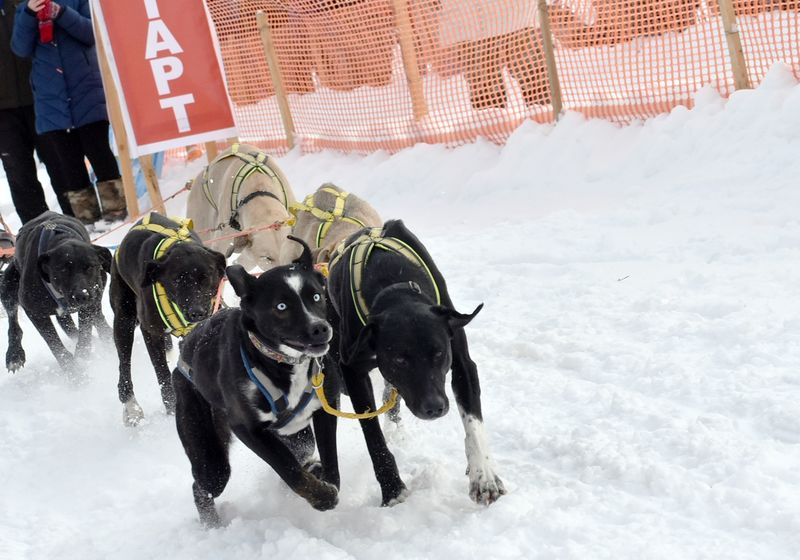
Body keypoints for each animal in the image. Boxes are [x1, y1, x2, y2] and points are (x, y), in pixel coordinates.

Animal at [0, 212, 112, 378]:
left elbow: (85, 329)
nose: (81, 295)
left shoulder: (93, 295)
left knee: (93, 318)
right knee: (13, 323)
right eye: (62, 270)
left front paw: (82, 354)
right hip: (8, 285)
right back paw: (14, 355)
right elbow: (54, 344)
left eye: (90, 266)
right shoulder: (34, 312)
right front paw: (72, 371)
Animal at [109, 213, 225, 424]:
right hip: (123, 320)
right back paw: (131, 406)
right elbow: (161, 370)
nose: (197, 312)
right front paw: (172, 405)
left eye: (207, 276)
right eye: (176, 279)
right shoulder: (151, 331)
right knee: (124, 364)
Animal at [173, 238, 340, 528]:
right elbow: (288, 469)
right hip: (210, 457)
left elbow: (328, 455)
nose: (320, 328)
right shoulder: (248, 429)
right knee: (202, 486)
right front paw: (322, 497)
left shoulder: (325, 407)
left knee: (303, 448)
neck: (280, 363)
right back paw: (212, 525)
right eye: (281, 306)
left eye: (317, 296)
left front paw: (328, 482)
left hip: (293, 434)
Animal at [326, 221, 506, 506]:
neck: (393, 284)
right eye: (400, 359)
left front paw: (484, 475)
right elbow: (373, 438)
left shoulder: (462, 363)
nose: (434, 407)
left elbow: (474, 425)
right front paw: (392, 489)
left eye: (439, 354)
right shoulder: (352, 371)